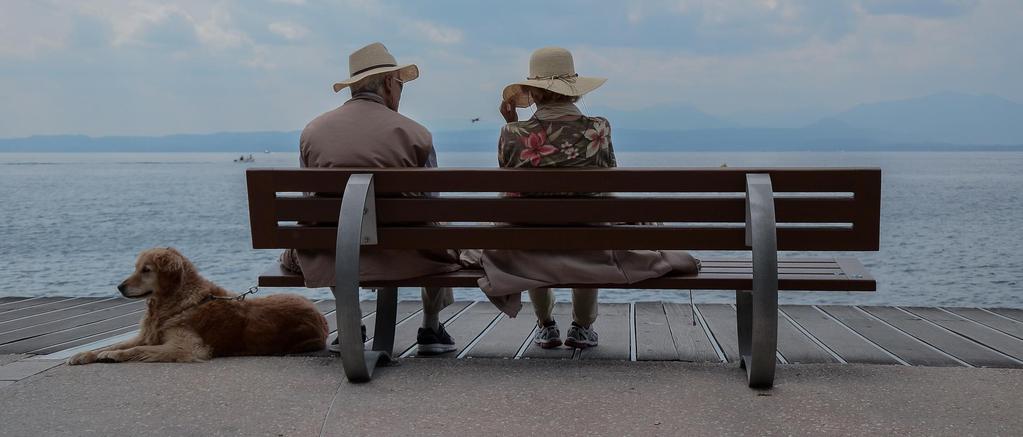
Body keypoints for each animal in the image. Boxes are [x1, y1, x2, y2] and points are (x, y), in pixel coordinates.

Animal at [69, 247, 323, 364]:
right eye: (136, 267)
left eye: (146, 270)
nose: (119, 287)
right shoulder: (148, 335)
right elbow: (115, 344)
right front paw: (85, 355)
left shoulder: (186, 347)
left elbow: (135, 350)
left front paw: (113, 355)